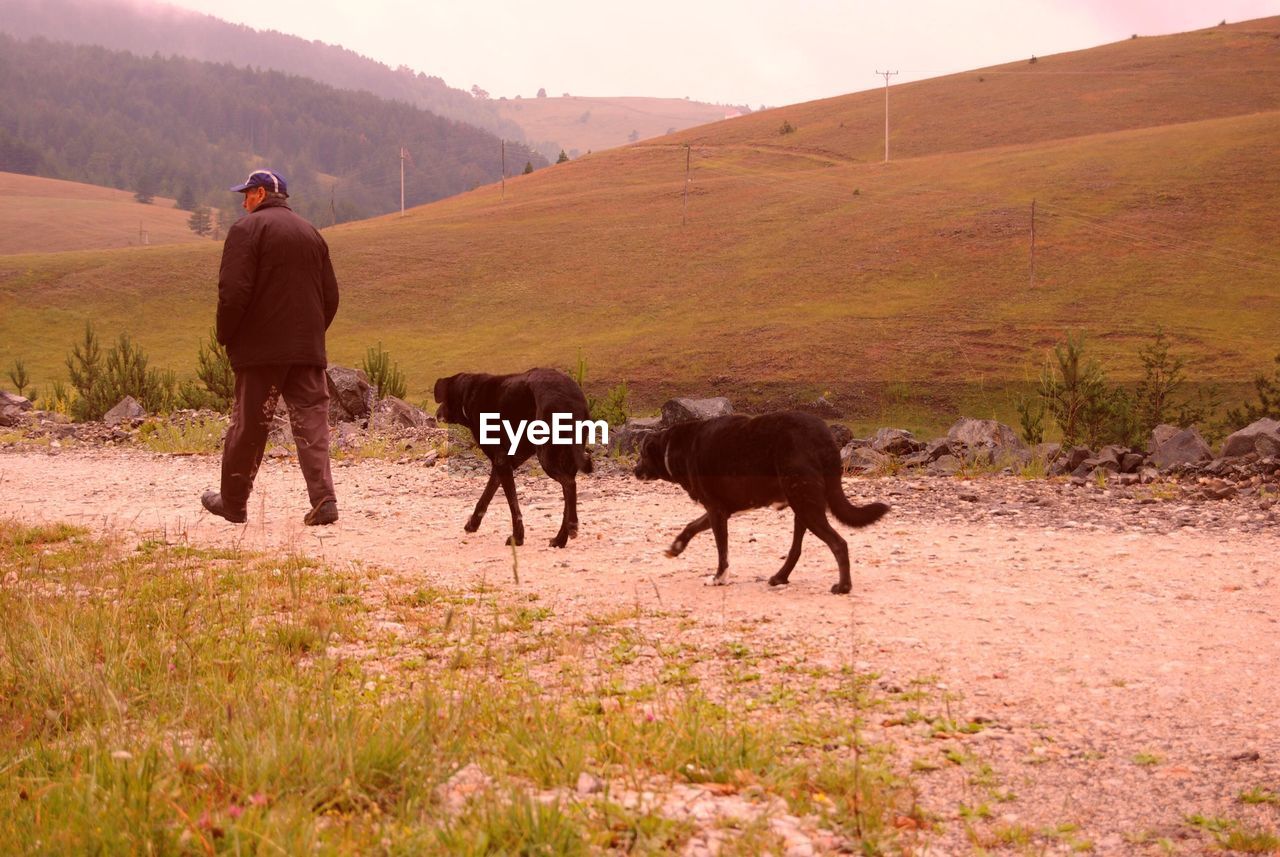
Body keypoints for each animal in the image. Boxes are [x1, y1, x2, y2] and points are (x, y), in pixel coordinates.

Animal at [430, 368, 588, 550]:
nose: (436, 414)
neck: (467, 394)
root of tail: (567, 395)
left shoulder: (501, 461)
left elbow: (512, 504)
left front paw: (517, 537)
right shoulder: (507, 462)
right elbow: (486, 495)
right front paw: (473, 523)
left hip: (547, 456)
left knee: (569, 483)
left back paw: (572, 526)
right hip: (568, 457)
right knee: (568, 493)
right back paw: (560, 538)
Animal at [632, 411, 890, 593]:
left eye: (642, 454)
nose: (634, 471)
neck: (673, 448)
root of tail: (823, 438)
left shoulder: (716, 511)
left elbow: (722, 552)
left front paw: (718, 578)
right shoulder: (720, 509)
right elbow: (692, 525)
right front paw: (676, 547)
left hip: (805, 503)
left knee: (839, 544)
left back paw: (843, 587)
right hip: (802, 505)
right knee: (796, 548)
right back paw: (780, 577)